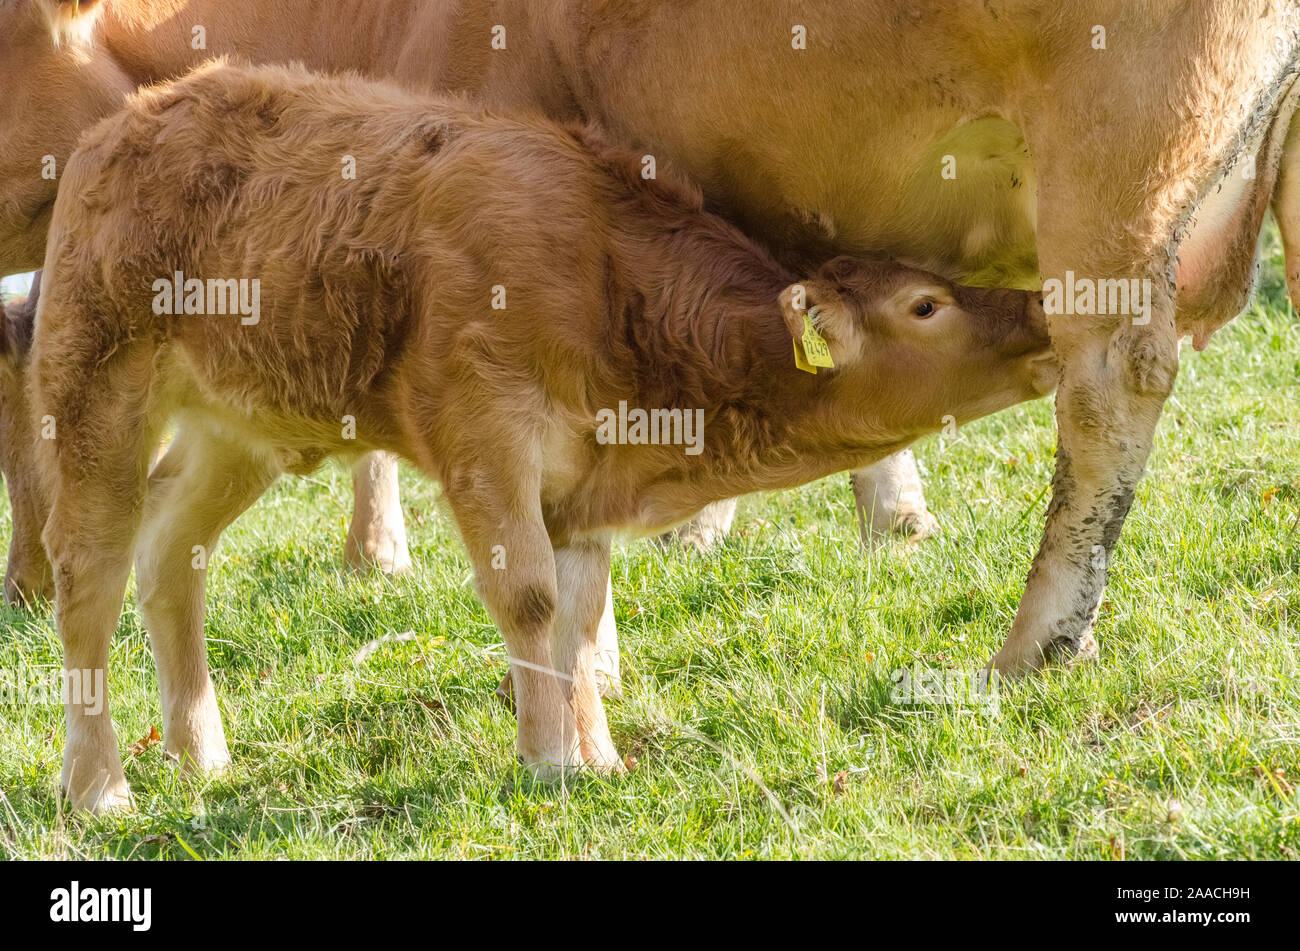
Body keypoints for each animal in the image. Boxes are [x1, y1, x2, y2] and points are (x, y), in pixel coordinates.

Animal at [32, 63, 1055, 815]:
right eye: (926, 305)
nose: (1042, 317)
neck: (606, 278)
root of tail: (130, 118)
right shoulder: (487, 440)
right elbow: (528, 599)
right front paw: (548, 758)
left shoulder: (579, 491)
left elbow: (578, 614)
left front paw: (595, 753)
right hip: (96, 389)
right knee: (87, 575)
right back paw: (99, 786)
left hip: (239, 426)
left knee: (173, 549)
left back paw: (201, 752)